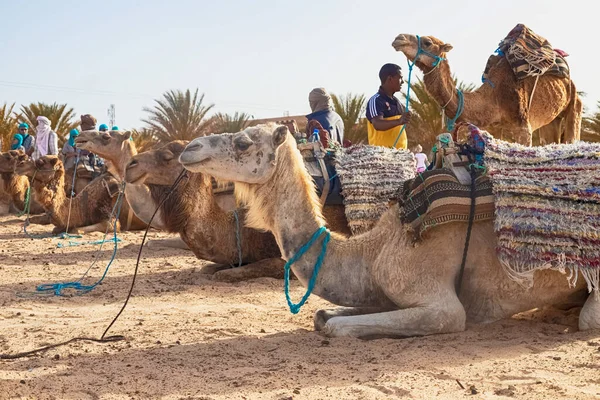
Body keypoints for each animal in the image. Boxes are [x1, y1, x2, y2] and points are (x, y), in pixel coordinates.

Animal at [179, 124, 600, 338]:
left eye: (242, 141)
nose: (189, 148)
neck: (372, 249)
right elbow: (323, 316)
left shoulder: (437, 301)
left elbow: (336, 328)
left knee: (588, 320)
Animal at [390, 32, 580, 145]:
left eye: (427, 42)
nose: (399, 38)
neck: (493, 97)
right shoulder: (493, 128)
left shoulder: (523, 128)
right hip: (552, 119)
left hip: (574, 103)